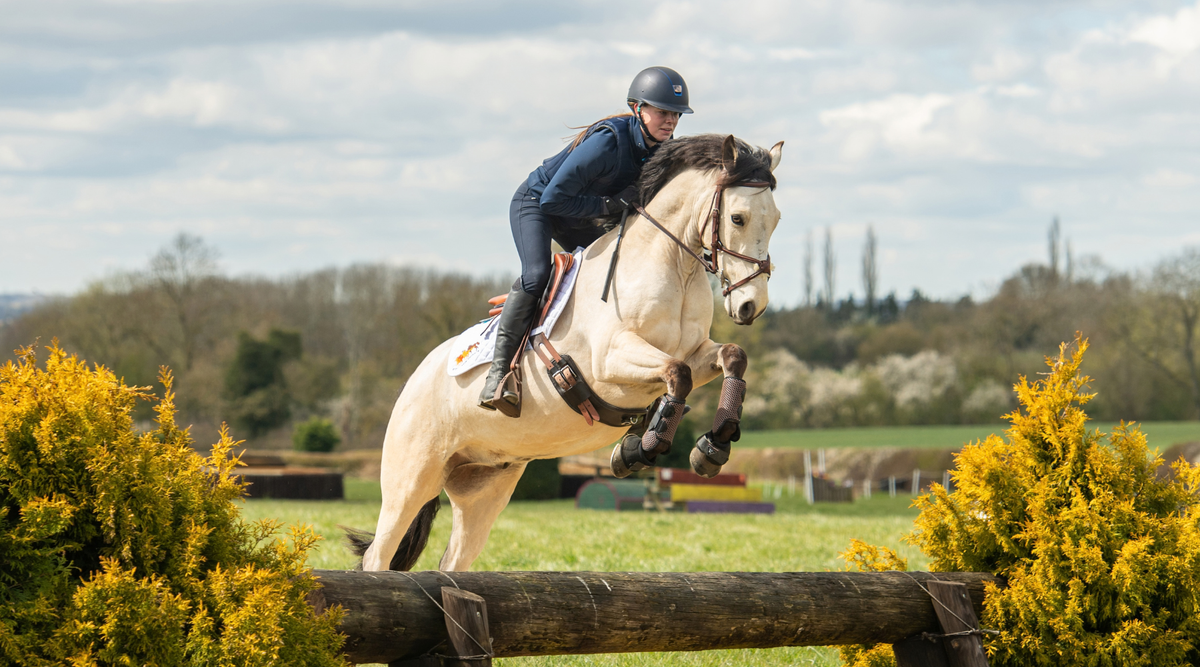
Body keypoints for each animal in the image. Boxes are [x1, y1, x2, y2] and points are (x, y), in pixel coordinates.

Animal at [349, 134, 784, 572]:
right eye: (738, 218)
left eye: (776, 219)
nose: (752, 306)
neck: (674, 264)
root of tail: (411, 382)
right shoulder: (609, 360)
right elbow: (678, 373)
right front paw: (639, 449)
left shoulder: (696, 350)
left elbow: (731, 357)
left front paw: (713, 447)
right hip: (412, 479)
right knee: (379, 554)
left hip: (484, 487)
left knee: (454, 561)